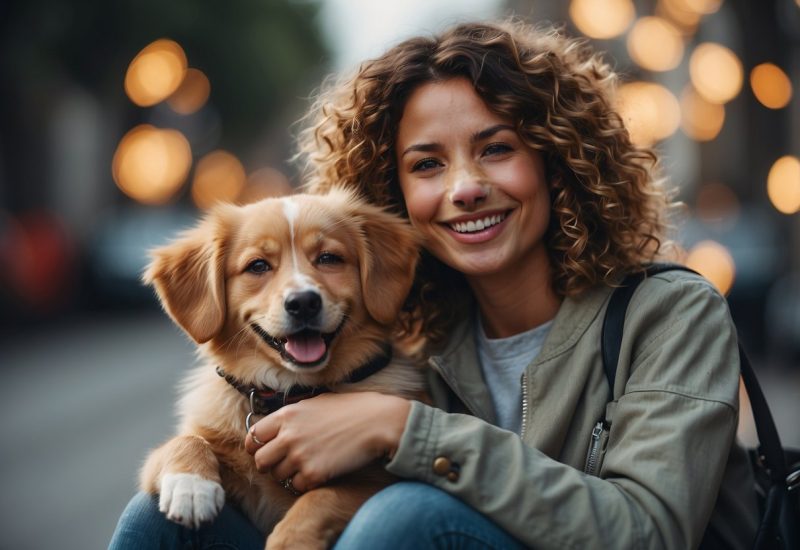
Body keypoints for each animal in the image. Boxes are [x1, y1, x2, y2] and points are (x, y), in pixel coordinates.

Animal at [141, 188, 424, 548]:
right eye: (258, 266)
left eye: (329, 258)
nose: (303, 303)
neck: (289, 391)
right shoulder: (160, 460)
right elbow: (182, 441)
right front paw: (191, 487)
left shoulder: (377, 480)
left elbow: (320, 498)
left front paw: (288, 540)